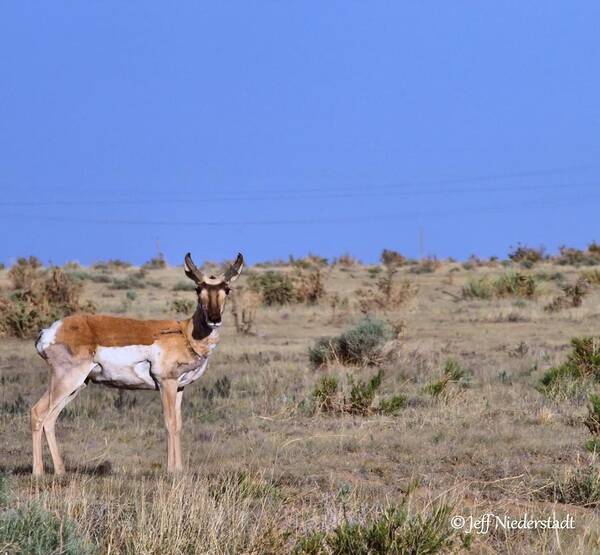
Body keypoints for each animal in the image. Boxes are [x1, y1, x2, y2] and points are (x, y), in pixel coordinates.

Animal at [31, 254, 244, 476]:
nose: (214, 319)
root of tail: (50, 331)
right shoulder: (166, 383)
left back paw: (60, 470)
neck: (186, 333)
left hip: (77, 385)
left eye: (227, 289)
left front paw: (179, 469)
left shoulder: (179, 387)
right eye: (197, 288)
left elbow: (178, 425)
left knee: (50, 418)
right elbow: (169, 423)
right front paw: (171, 470)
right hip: (67, 381)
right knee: (38, 412)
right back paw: (38, 472)